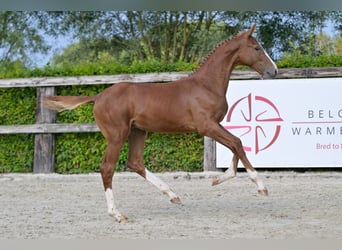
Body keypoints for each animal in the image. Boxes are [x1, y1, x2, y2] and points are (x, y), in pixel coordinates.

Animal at [42, 23, 278, 223]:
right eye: (257, 48)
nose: (273, 71)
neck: (206, 85)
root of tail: (98, 96)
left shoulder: (214, 126)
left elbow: (236, 145)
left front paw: (218, 180)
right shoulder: (207, 126)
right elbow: (237, 143)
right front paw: (261, 187)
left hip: (138, 132)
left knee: (135, 162)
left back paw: (173, 195)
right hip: (117, 135)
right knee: (107, 168)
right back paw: (117, 214)